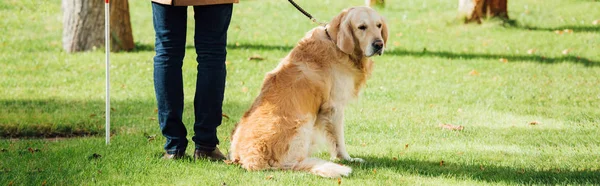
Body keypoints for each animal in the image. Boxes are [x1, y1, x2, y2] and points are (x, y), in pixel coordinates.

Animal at [227, 6, 386, 178]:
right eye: (361, 27)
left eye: (378, 25)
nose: (379, 44)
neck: (336, 44)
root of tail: (249, 160)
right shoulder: (334, 107)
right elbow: (338, 140)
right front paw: (346, 159)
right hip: (302, 125)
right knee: (291, 164)